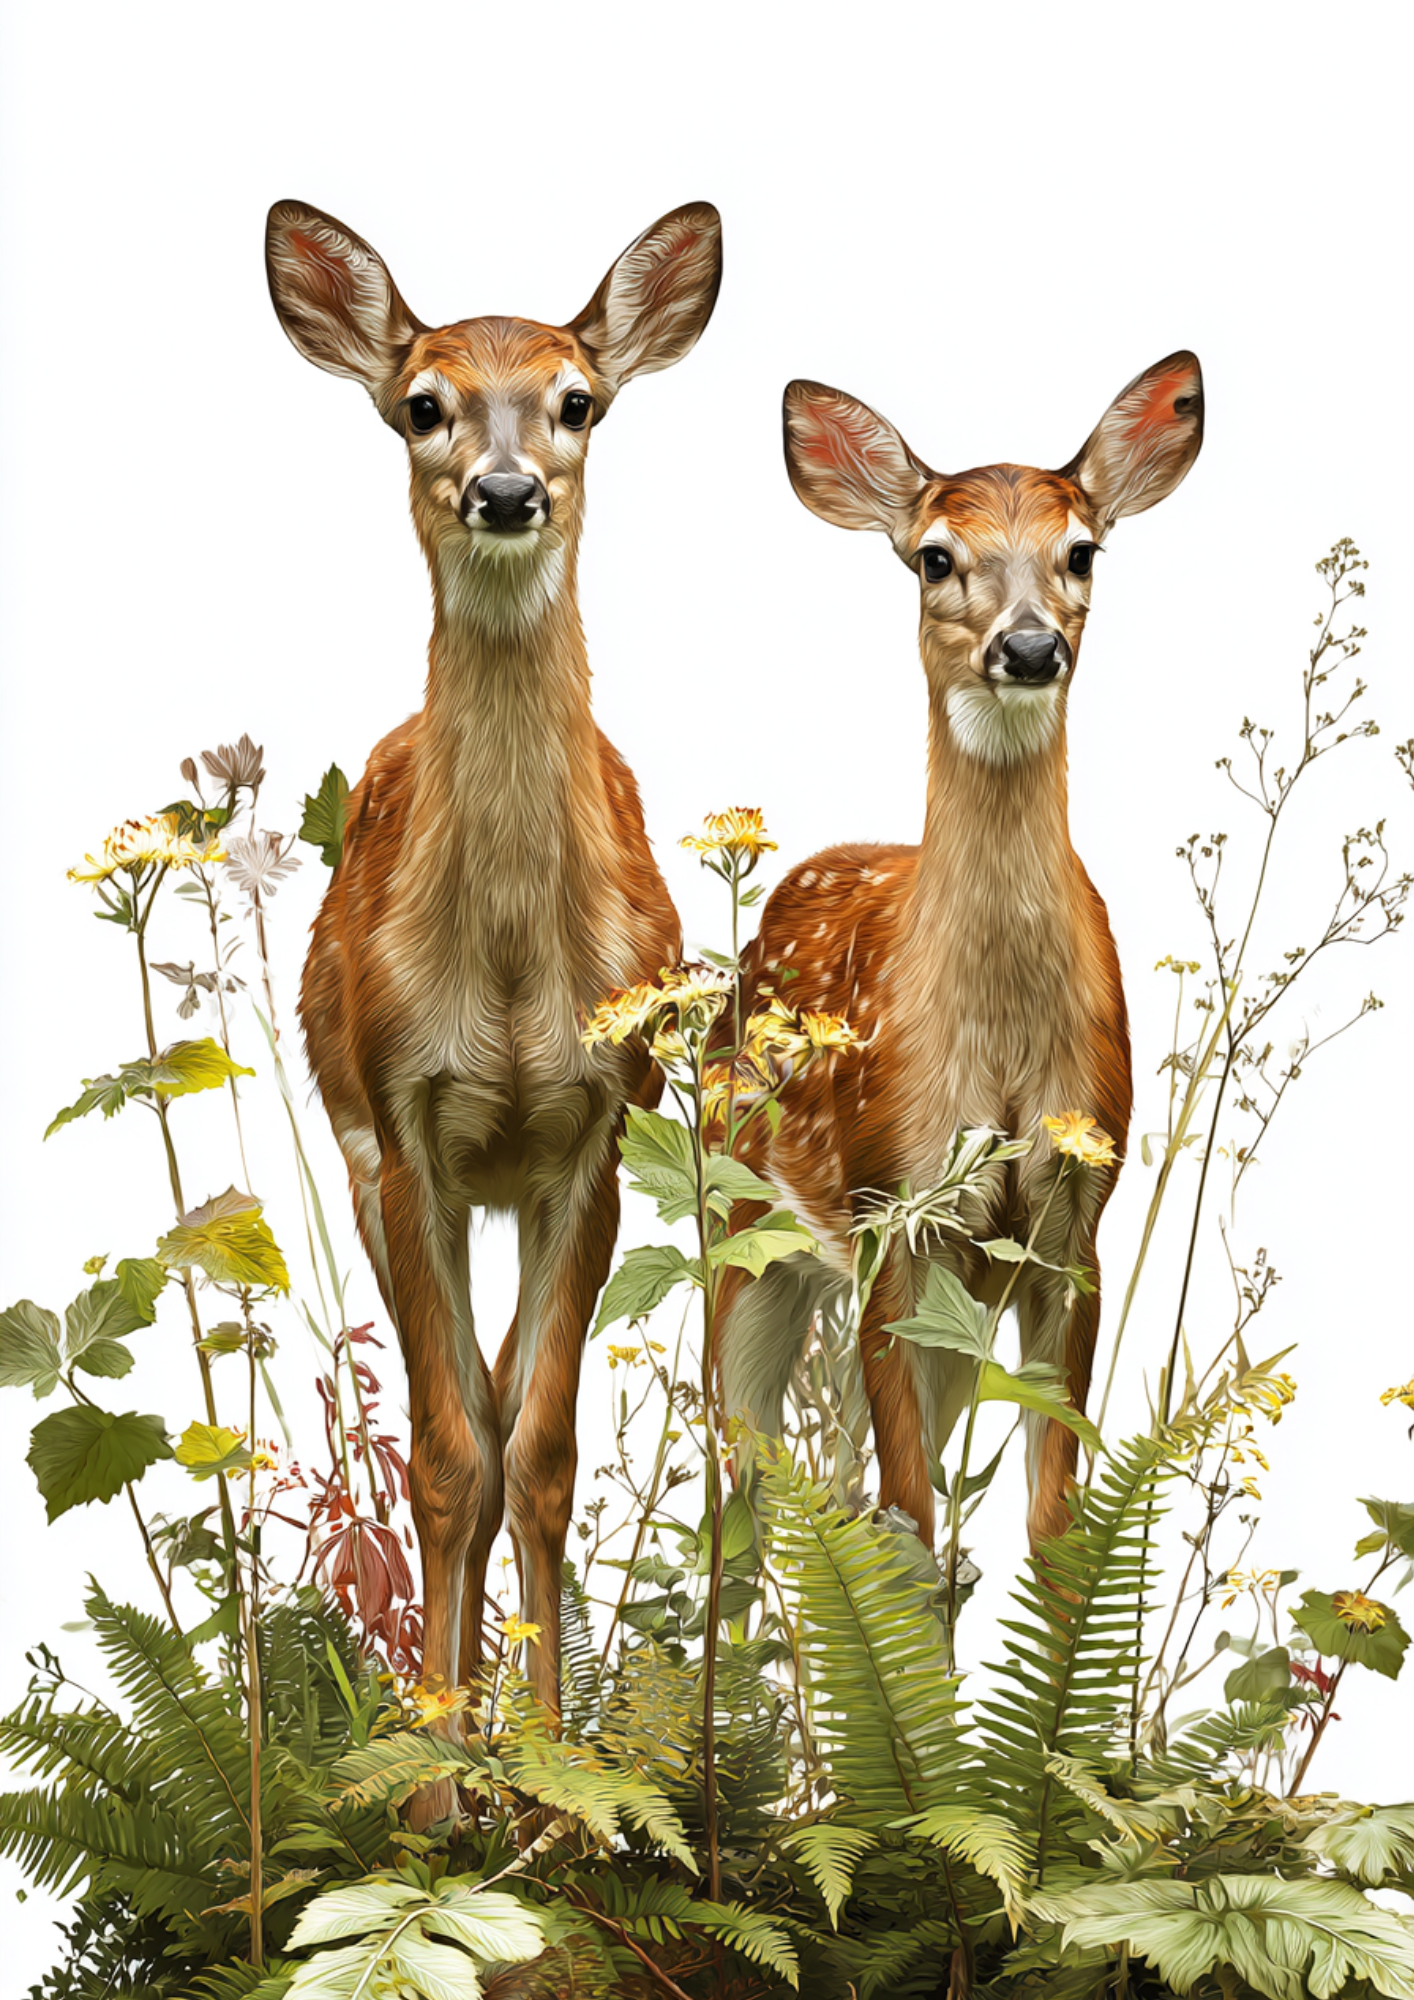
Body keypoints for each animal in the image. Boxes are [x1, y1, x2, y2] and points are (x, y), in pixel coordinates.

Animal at [265, 198, 722, 1713]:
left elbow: (541, 1452)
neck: (519, 976)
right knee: (455, 1405)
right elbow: (449, 1455)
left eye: (578, 400)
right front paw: (439, 1758)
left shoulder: (596, 1132)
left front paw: (549, 1752)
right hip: (380, 1167)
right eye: (422, 404)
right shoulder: (405, 1125)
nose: (508, 491)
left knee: (508, 1386)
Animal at [718, 354, 1203, 1550]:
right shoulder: (890, 1200)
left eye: (1082, 550)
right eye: (936, 555)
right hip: (745, 1211)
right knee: (744, 1465)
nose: (1028, 647)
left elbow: (1052, 1516)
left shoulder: (1075, 1214)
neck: (999, 1042)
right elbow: (903, 1510)